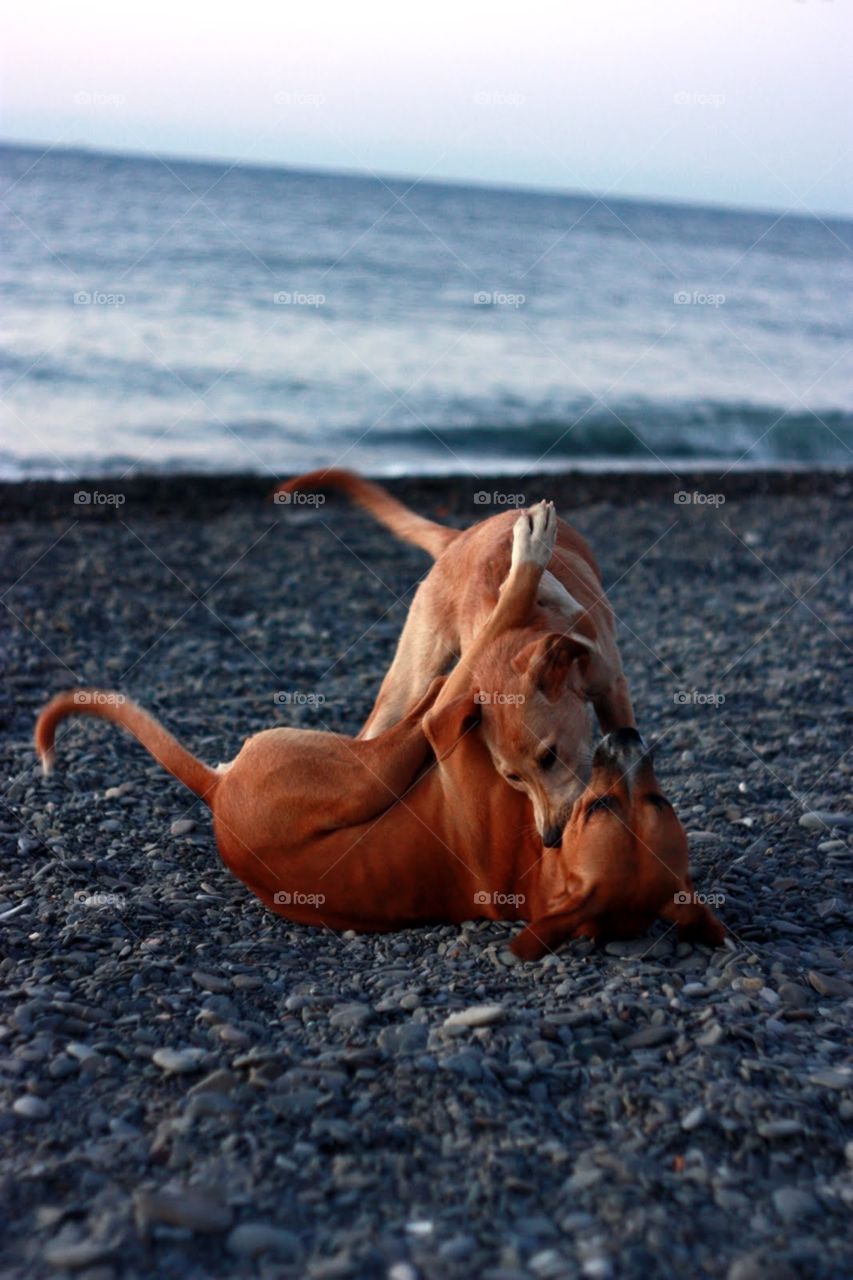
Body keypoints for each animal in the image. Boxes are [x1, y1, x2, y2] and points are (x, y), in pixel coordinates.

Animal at [275, 465, 635, 844]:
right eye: (513, 776)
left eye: (549, 757)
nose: (551, 837)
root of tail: (460, 538)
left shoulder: (612, 687)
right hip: (411, 681)